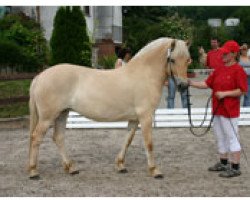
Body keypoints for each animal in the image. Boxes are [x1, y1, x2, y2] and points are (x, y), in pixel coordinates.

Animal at [27, 37, 191, 180]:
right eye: (172, 59)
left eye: (188, 60)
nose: (183, 85)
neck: (144, 74)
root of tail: (40, 76)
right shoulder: (146, 117)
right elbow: (149, 143)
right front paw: (155, 170)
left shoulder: (134, 119)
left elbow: (127, 140)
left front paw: (120, 165)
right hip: (47, 117)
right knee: (36, 138)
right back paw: (34, 171)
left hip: (62, 113)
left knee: (58, 138)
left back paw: (71, 168)